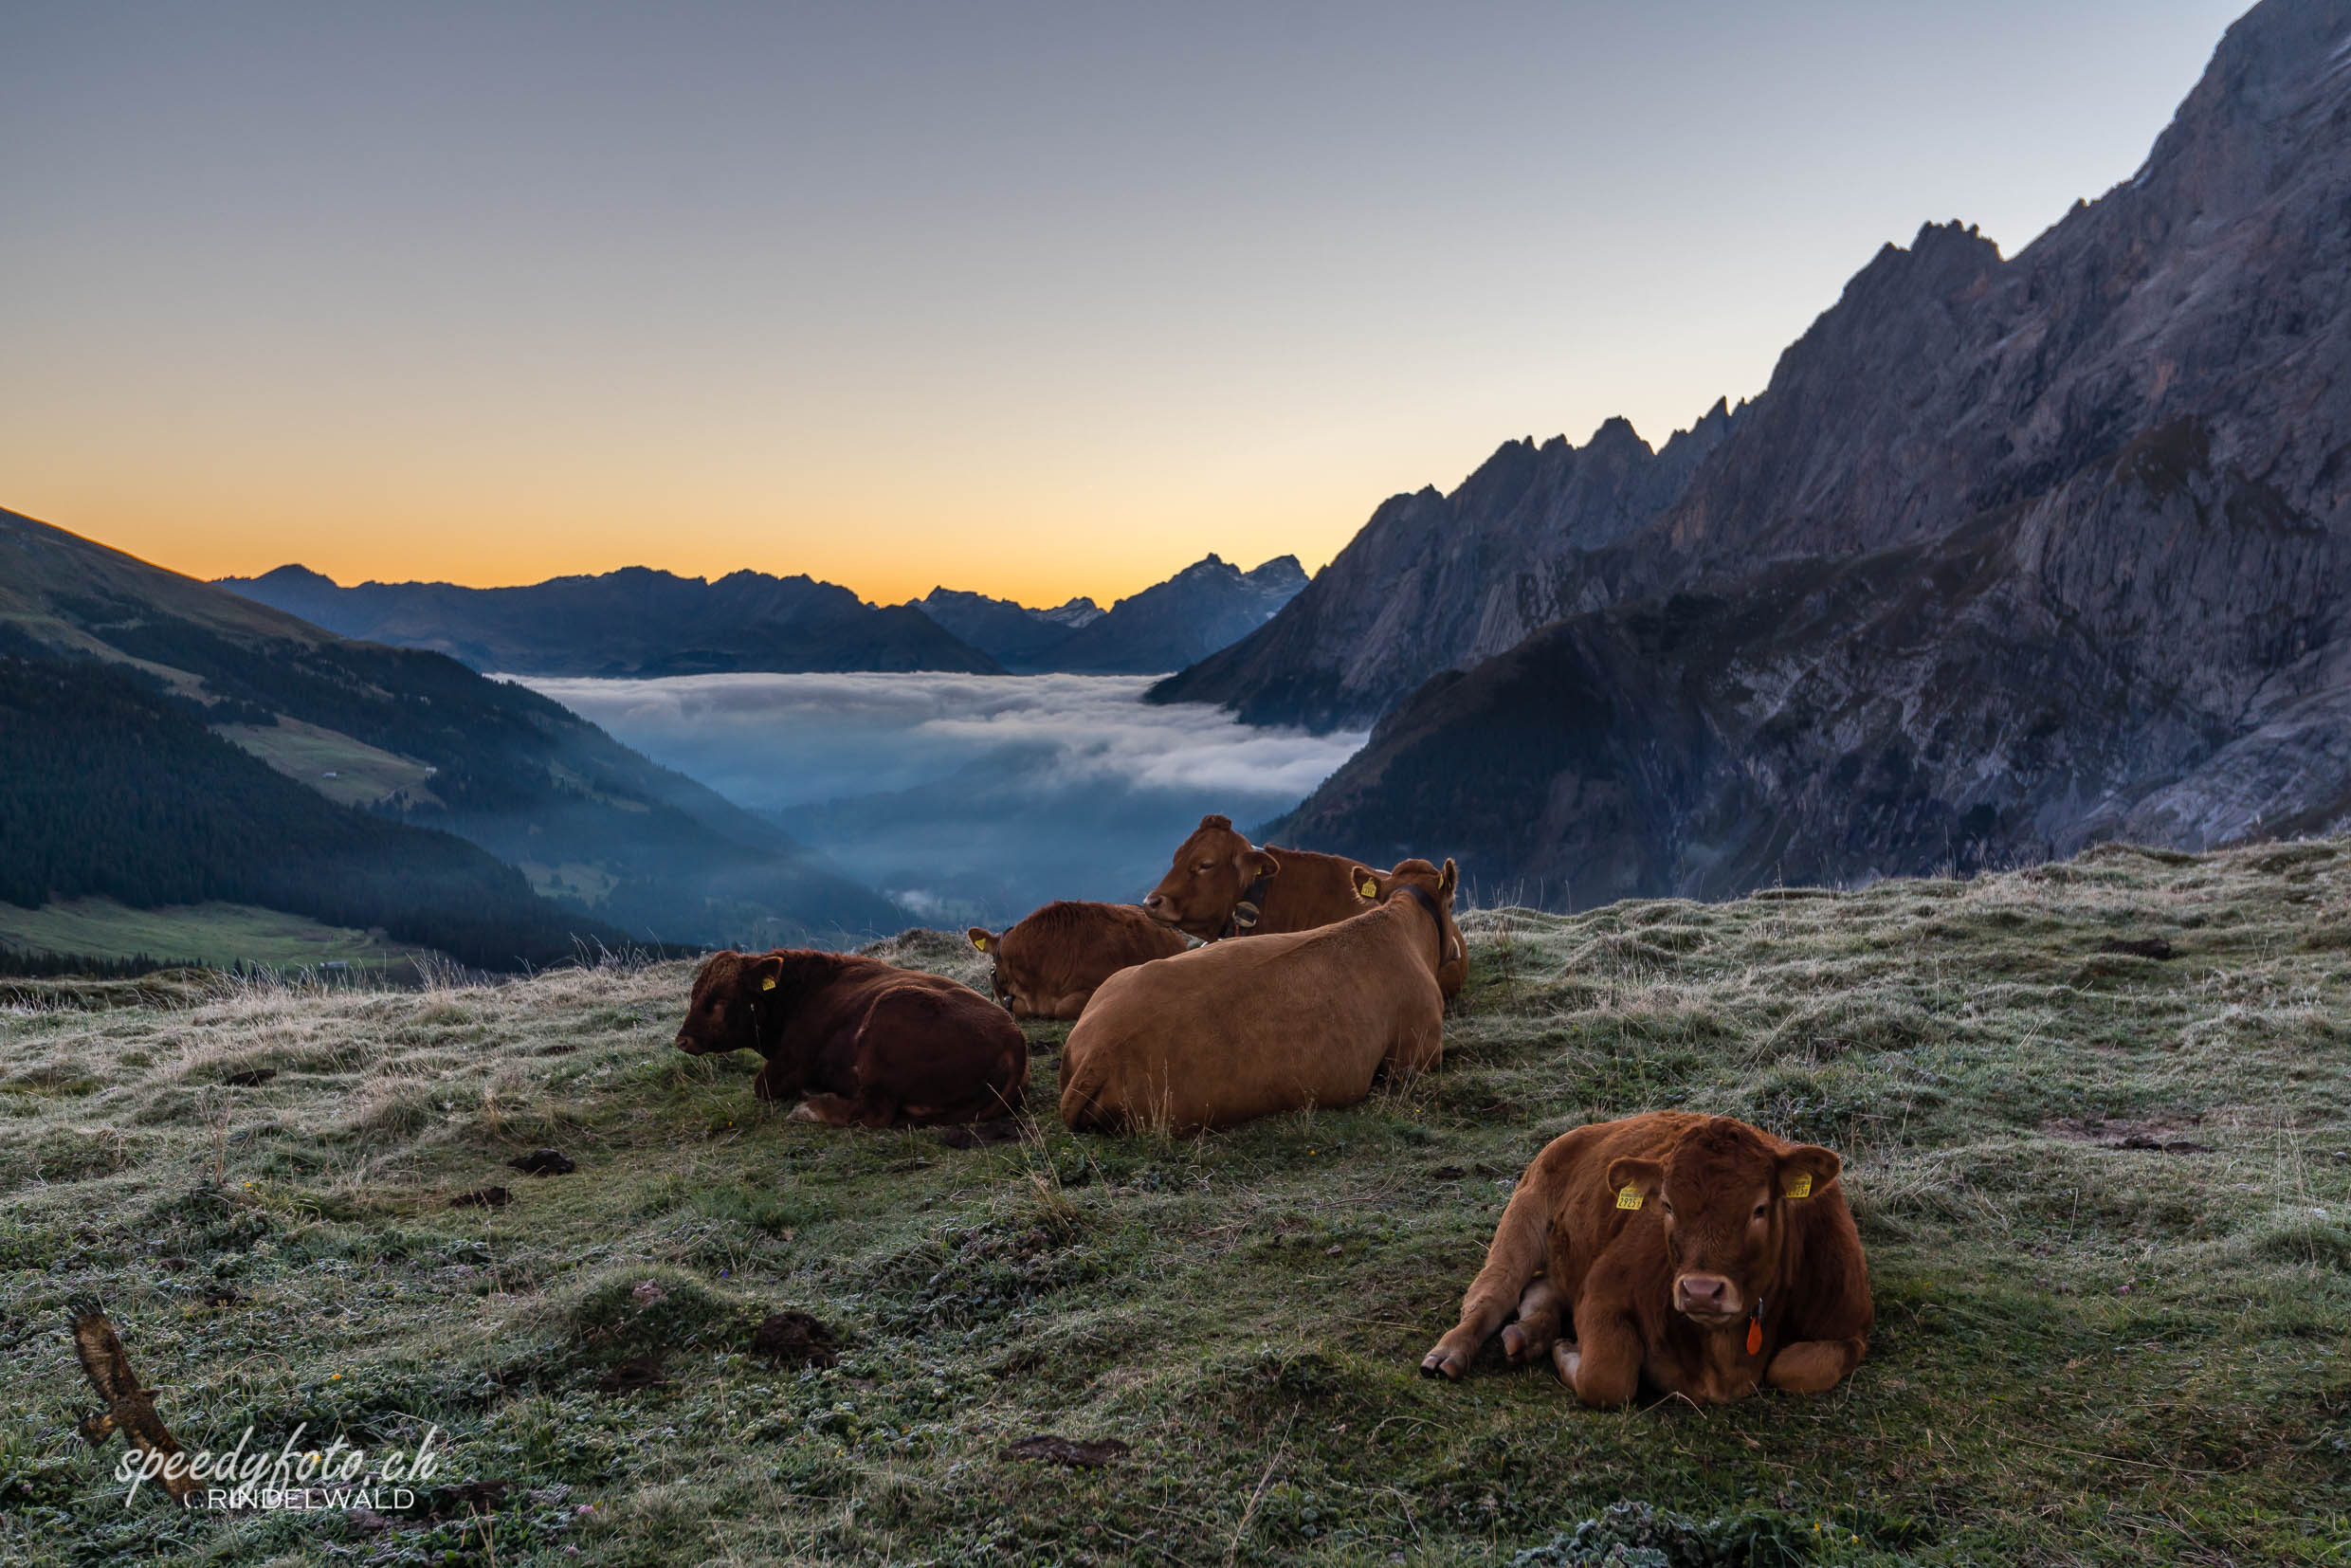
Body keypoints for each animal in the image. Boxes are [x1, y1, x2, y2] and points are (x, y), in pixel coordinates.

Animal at [667, 944, 1025, 1128]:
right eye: (694, 993)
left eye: (720, 999)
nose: (683, 1040)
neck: (799, 994)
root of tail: (1013, 1038)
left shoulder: (791, 1063)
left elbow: (762, 1086)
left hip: (887, 1013)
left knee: (874, 1112)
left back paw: (811, 1107)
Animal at [1411, 1109, 1871, 1400]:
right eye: (1666, 1205)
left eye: (1760, 1208)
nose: (1701, 1291)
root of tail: (1588, 1129)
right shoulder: (1603, 1292)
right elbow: (1607, 1378)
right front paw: (1568, 1353)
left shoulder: (1852, 1326)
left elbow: (1794, 1368)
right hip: (1523, 1216)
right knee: (1492, 1295)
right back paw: (1450, 1354)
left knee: (1542, 1293)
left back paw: (1525, 1335)